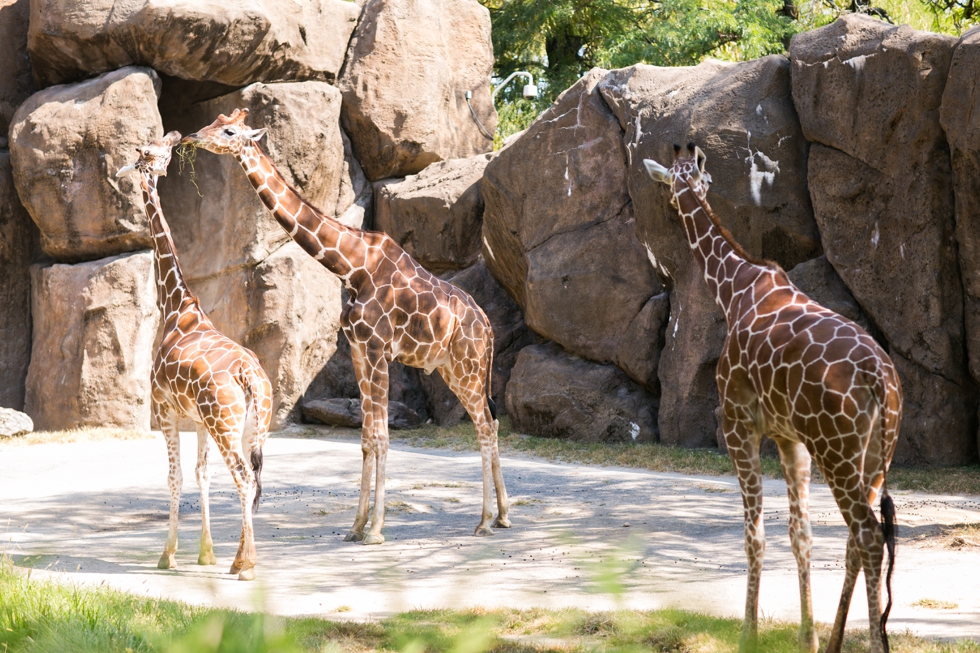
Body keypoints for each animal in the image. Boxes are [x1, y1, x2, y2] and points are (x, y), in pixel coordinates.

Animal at [117, 130, 274, 580]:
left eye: (151, 149)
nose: (174, 135)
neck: (178, 307)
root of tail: (250, 378)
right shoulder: (199, 422)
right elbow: (202, 475)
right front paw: (207, 554)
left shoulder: (165, 410)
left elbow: (175, 477)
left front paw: (167, 555)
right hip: (253, 426)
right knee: (252, 477)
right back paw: (239, 558)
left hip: (226, 425)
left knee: (243, 477)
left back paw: (247, 566)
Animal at [179, 109, 510, 544]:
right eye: (214, 122)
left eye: (229, 130)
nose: (191, 137)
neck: (352, 266)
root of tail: (487, 324)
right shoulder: (357, 350)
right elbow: (367, 439)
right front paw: (356, 526)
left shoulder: (378, 350)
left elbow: (382, 437)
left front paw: (376, 530)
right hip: (454, 368)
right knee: (489, 422)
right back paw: (502, 515)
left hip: (469, 366)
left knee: (485, 426)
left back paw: (486, 520)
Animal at [644, 144, 904, 652]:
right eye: (697, 180)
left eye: (672, 186)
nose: (671, 207)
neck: (734, 289)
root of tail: (880, 379)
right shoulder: (790, 438)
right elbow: (800, 533)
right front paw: (808, 637)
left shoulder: (738, 423)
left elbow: (755, 533)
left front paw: (748, 632)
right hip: (876, 455)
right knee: (856, 537)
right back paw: (839, 640)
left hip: (836, 451)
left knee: (867, 533)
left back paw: (872, 643)